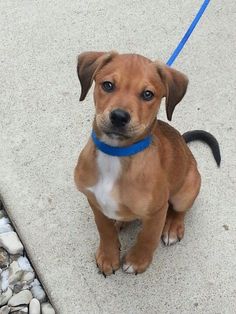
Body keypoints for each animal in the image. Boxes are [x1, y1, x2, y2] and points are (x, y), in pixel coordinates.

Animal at [74, 51, 221, 274]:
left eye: (147, 94)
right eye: (107, 85)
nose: (119, 116)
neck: (116, 155)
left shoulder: (157, 210)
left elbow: (148, 236)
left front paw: (137, 260)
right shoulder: (94, 201)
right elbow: (104, 229)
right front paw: (108, 256)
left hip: (186, 191)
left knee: (180, 210)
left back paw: (172, 227)